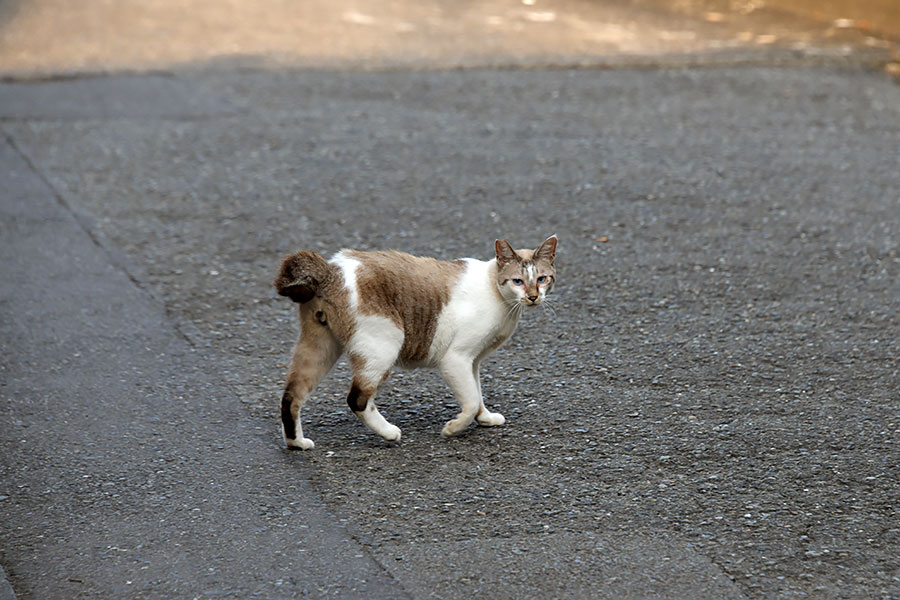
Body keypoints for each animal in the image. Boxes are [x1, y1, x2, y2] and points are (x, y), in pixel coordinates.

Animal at [272, 237, 556, 448]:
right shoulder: (456, 359)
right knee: (357, 398)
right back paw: (390, 433)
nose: (533, 297)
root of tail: (329, 269)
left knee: (292, 395)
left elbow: (477, 394)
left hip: (320, 348)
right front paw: (452, 429)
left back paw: (297, 443)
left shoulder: (473, 361)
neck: (504, 303)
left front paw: (485, 419)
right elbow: (471, 400)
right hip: (385, 344)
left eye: (542, 279)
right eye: (518, 281)